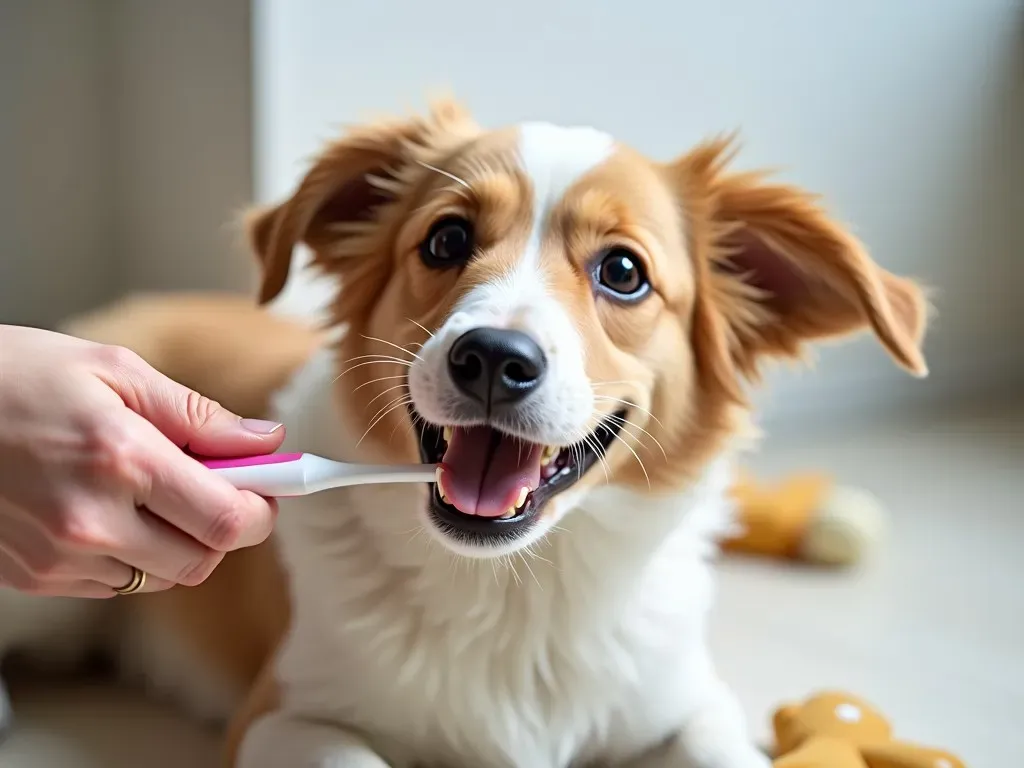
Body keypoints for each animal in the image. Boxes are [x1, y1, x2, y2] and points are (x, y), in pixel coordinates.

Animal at [0, 102, 929, 768]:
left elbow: (718, 745)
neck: (517, 592)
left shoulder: (686, 701)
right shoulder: (282, 716)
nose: (493, 359)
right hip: (47, 602)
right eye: (446, 239)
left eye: (624, 272)